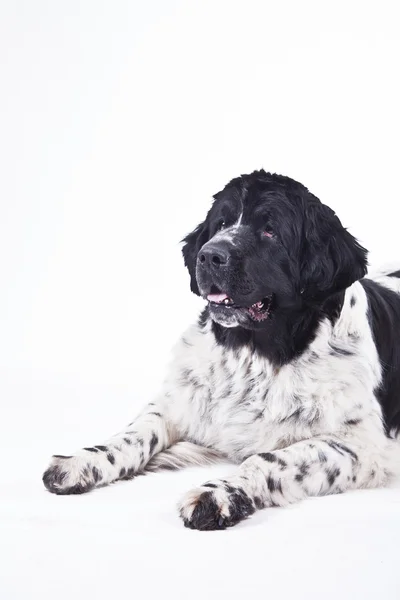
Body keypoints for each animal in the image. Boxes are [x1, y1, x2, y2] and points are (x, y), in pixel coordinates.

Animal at [43, 169, 400, 528]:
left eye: (270, 230)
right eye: (221, 223)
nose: (210, 255)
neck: (256, 353)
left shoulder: (361, 444)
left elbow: (268, 458)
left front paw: (218, 493)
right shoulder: (179, 399)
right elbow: (136, 432)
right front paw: (81, 461)